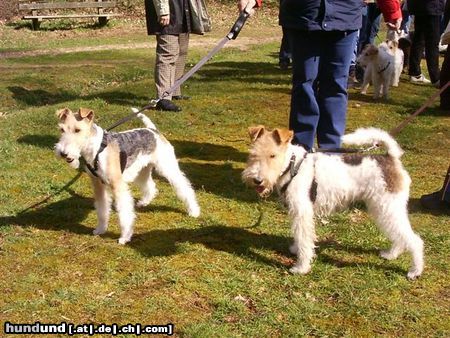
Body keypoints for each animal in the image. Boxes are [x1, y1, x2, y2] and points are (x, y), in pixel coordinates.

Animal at [55, 107, 200, 243]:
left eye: (77, 130)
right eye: (62, 129)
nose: (63, 153)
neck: (96, 149)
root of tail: (152, 130)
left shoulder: (117, 185)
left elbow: (124, 212)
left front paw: (125, 236)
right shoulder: (98, 184)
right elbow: (102, 209)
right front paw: (100, 229)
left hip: (168, 167)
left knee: (185, 187)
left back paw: (194, 211)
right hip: (142, 170)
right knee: (150, 186)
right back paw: (144, 202)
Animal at [241, 127, 424, 280]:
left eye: (273, 155)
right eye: (253, 154)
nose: (257, 180)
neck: (292, 165)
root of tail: (391, 158)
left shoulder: (302, 211)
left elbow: (304, 239)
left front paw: (301, 267)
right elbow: (300, 237)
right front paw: (295, 249)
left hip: (388, 207)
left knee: (415, 240)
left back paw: (414, 271)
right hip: (383, 208)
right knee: (400, 236)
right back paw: (391, 254)